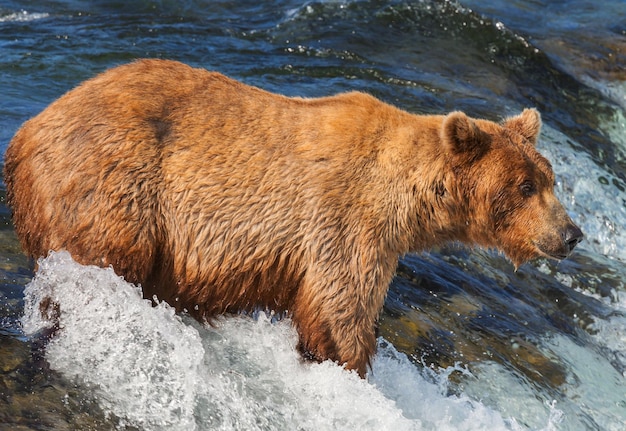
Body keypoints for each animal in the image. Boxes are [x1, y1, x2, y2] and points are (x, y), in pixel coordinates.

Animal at [4, 58, 580, 378]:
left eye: (549, 178)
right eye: (525, 186)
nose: (571, 234)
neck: (407, 198)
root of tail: (25, 134)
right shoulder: (345, 223)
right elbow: (338, 311)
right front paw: (350, 367)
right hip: (113, 186)